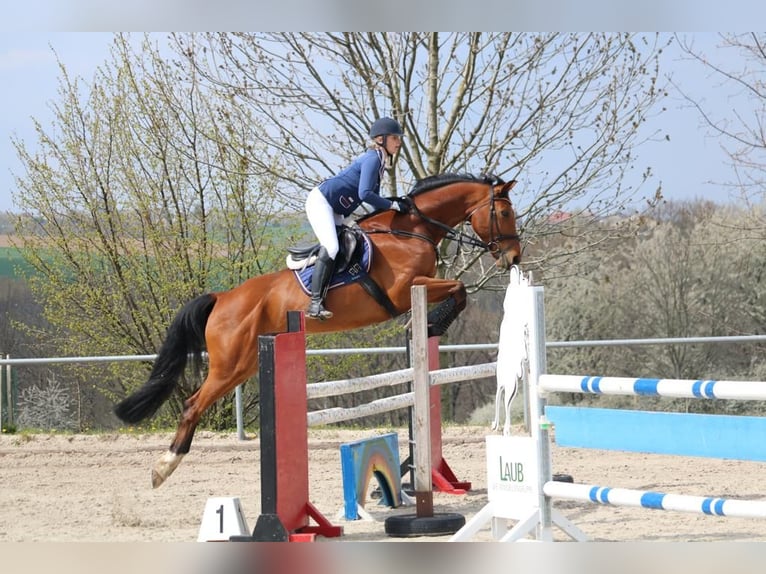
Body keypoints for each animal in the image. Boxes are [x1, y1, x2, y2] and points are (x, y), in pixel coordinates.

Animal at [114, 173, 522, 488]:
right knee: (192, 404)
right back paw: (164, 467)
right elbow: (459, 288)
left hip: (244, 365)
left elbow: (459, 290)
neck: (412, 231)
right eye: (503, 212)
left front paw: (427, 325)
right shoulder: (405, 290)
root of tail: (223, 297)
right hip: (229, 365)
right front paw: (433, 322)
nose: (513, 257)